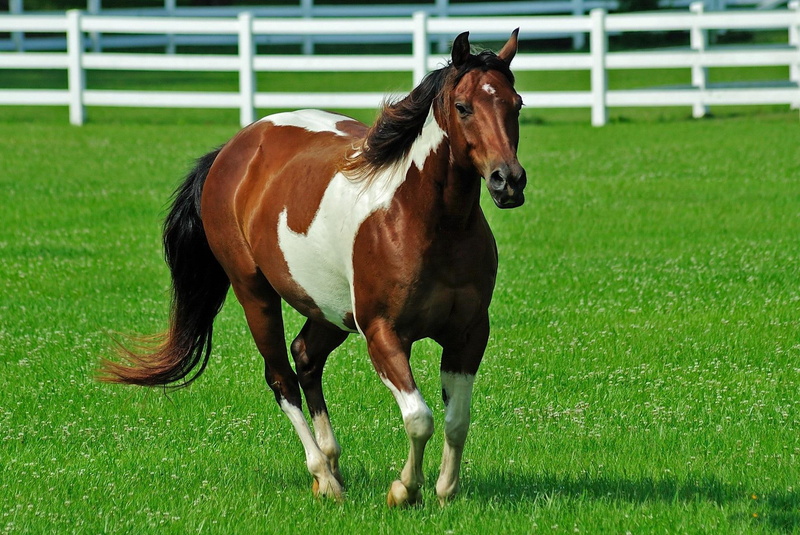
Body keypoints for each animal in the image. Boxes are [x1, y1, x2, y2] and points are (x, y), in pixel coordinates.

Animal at [100, 30, 526, 507]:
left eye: (516, 104)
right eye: (463, 106)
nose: (508, 181)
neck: (424, 218)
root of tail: (235, 148)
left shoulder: (468, 334)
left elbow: (456, 419)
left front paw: (445, 490)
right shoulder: (383, 334)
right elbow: (420, 417)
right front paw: (404, 489)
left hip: (328, 309)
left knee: (305, 357)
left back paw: (332, 464)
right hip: (255, 294)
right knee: (282, 378)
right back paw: (324, 475)